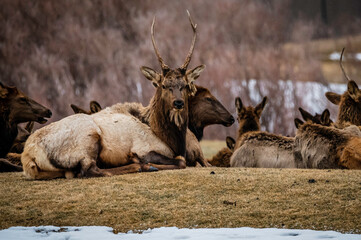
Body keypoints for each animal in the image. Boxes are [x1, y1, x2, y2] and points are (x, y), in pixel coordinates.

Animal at [21, 11, 205, 180]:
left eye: (185, 85)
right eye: (164, 85)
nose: (178, 103)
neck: (171, 139)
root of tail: (28, 157)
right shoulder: (144, 148)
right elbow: (180, 161)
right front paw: (144, 162)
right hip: (87, 140)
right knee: (90, 170)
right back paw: (140, 166)